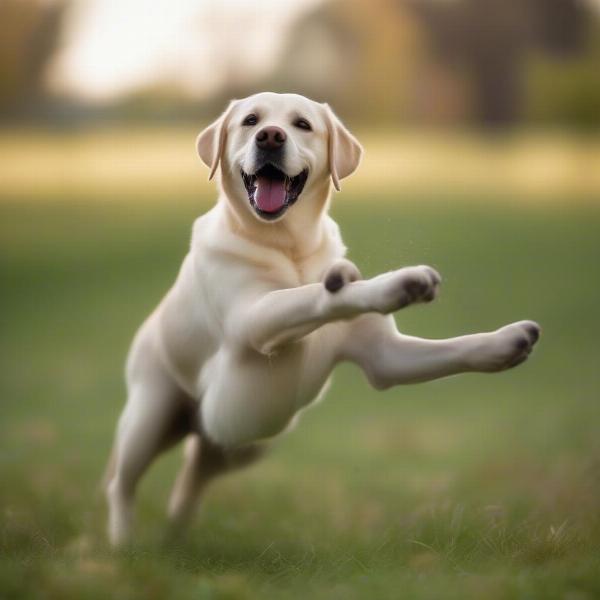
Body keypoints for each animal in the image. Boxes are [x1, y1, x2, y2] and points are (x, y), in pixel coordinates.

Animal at [105, 91, 540, 548]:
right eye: (250, 120)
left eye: (301, 124)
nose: (270, 136)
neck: (289, 245)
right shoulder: (255, 318)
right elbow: (317, 296)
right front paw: (391, 285)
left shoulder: (385, 357)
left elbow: (455, 349)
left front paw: (506, 343)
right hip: (150, 418)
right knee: (121, 482)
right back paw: (124, 543)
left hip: (245, 439)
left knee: (194, 473)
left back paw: (176, 530)